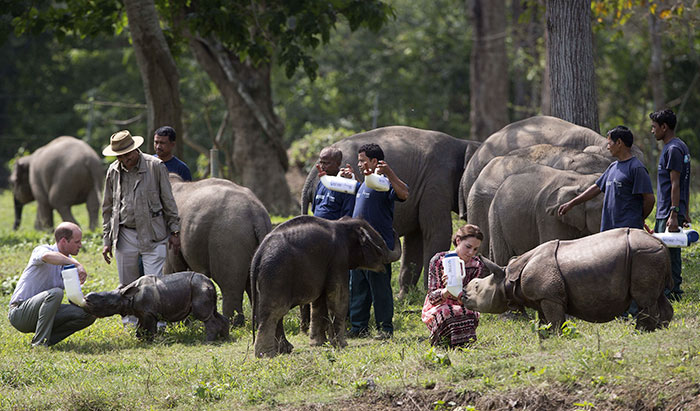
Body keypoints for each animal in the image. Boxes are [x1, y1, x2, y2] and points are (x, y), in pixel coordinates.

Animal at [83, 271, 229, 341]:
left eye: (106, 302)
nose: (86, 299)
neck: (127, 297)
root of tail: (210, 283)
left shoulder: (149, 313)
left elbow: (150, 328)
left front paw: (150, 341)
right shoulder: (141, 313)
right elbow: (140, 328)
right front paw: (140, 340)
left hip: (200, 289)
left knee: (205, 316)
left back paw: (207, 341)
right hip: (202, 289)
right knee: (214, 313)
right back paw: (224, 338)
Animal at [462, 228, 674, 332]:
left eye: (477, 286)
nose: (463, 295)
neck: (507, 278)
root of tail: (661, 243)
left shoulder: (550, 297)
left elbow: (556, 322)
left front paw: (557, 338)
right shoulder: (542, 298)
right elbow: (544, 323)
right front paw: (546, 339)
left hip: (643, 255)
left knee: (645, 299)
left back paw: (641, 332)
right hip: (650, 255)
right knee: (657, 295)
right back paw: (662, 328)